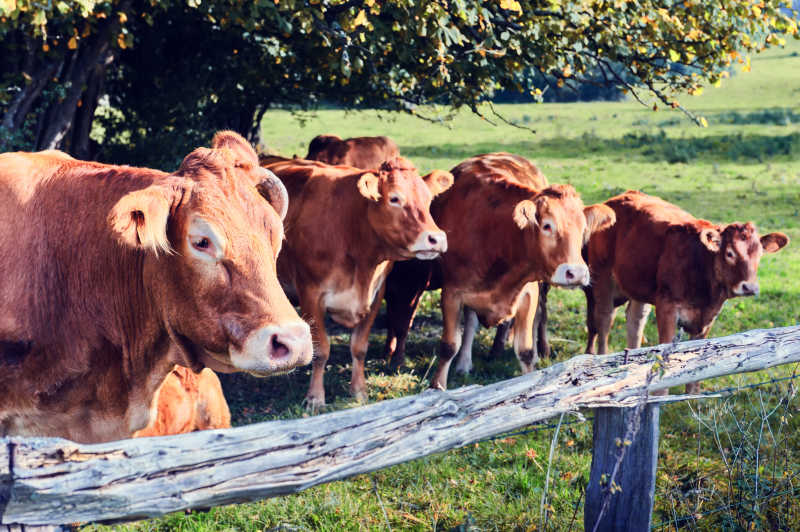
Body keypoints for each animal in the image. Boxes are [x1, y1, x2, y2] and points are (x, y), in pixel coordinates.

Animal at [262, 156, 450, 406]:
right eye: (394, 198)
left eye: (429, 200)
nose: (436, 238)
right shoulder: (310, 294)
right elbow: (321, 349)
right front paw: (315, 397)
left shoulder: (376, 294)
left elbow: (359, 347)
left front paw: (359, 391)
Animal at [384, 152, 616, 388]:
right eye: (547, 225)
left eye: (583, 228)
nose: (576, 273)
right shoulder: (452, 293)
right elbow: (449, 345)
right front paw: (438, 386)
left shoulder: (528, 293)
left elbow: (525, 350)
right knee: (471, 322)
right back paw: (467, 362)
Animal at [584, 189, 792, 392]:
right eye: (729, 253)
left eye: (759, 254)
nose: (750, 287)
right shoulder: (666, 308)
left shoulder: (706, 320)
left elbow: (695, 373)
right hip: (602, 277)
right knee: (604, 320)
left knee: (635, 320)